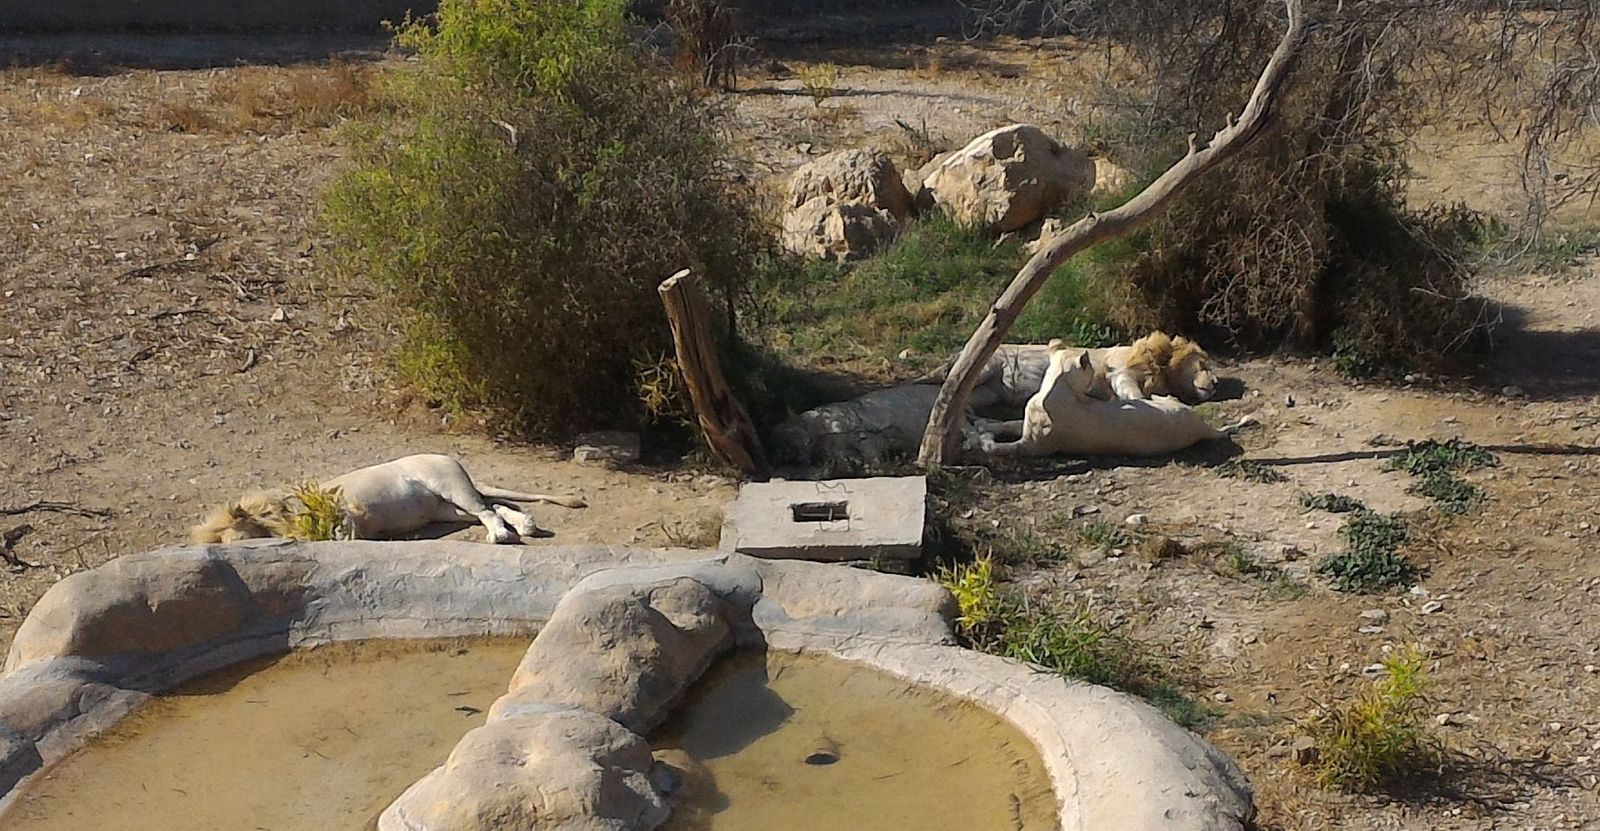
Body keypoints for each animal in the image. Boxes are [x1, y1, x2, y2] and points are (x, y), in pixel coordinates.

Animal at [979, 344, 1254, 461]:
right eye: (1203, 364)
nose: (1216, 383)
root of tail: (1201, 429)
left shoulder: (1033, 446)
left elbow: (1000, 447)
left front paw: (984, 438)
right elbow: (1007, 425)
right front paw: (984, 428)